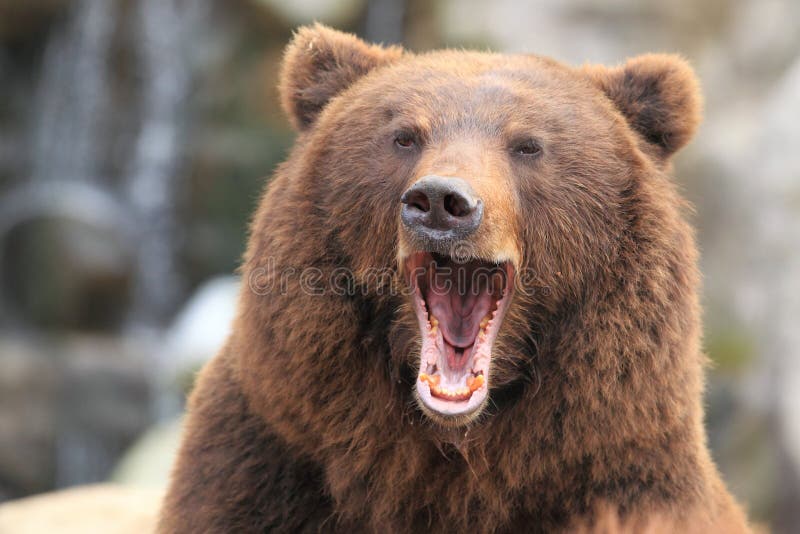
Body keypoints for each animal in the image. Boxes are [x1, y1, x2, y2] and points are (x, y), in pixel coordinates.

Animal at [159, 24, 751, 533]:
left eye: (528, 144)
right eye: (404, 136)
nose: (442, 201)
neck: (457, 448)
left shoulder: (620, 479)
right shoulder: (267, 465)